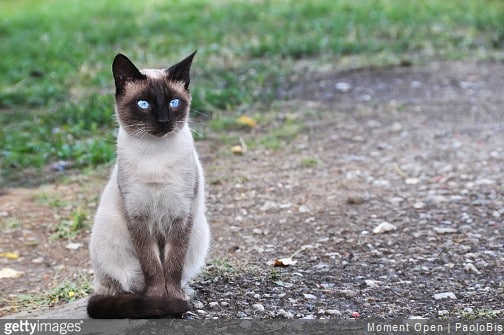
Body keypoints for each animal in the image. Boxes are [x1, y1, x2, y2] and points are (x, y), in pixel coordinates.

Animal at [87, 51, 210, 318]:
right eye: (144, 104)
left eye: (174, 103)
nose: (163, 121)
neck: (155, 156)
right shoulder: (138, 219)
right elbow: (153, 267)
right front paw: (159, 300)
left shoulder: (181, 216)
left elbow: (172, 266)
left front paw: (173, 299)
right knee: (126, 287)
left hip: (199, 232)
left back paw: (184, 294)